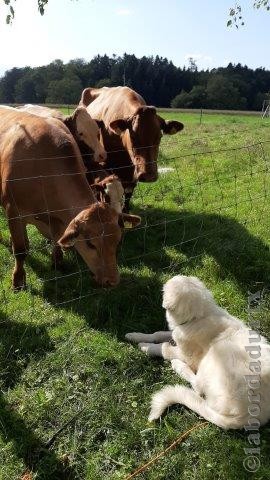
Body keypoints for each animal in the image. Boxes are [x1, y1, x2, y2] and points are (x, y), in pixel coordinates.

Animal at [1, 108, 141, 288]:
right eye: (90, 243)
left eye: (117, 240)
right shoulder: (14, 213)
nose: (112, 280)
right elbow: (20, 250)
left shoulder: (57, 218)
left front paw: (57, 261)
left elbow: (57, 239)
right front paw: (18, 279)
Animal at [126, 276, 270, 430]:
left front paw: (145, 347)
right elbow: (158, 333)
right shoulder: (175, 333)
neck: (200, 316)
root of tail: (247, 417)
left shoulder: (187, 355)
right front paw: (134, 336)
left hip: (215, 355)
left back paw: (178, 366)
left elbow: (164, 348)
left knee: (198, 386)